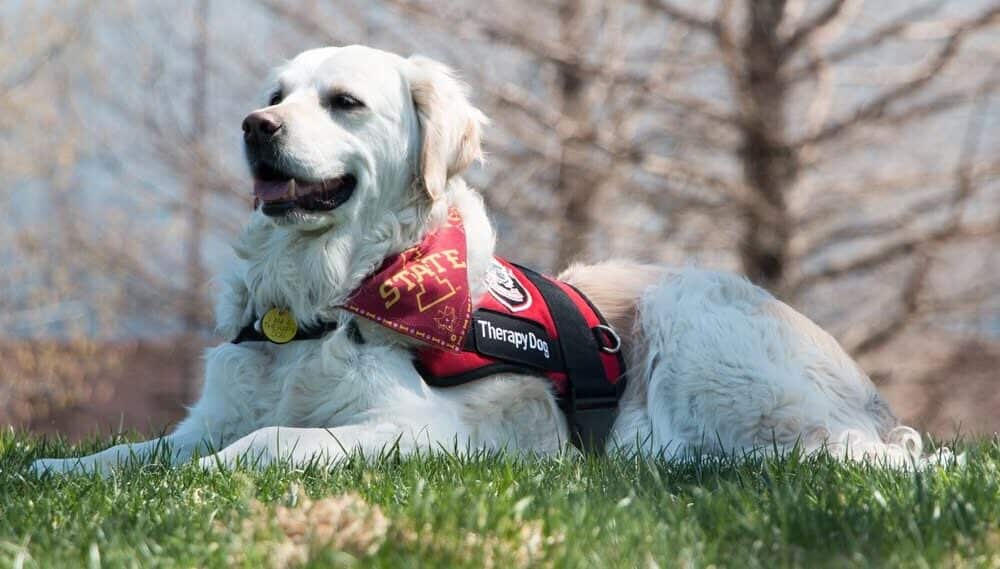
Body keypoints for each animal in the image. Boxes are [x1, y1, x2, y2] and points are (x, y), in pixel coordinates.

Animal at [33, 44, 936, 472]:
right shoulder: (208, 415)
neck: (323, 295)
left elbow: (273, 441)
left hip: (697, 316)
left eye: (344, 102)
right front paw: (58, 468)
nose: (256, 127)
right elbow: (134, 451)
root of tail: (873, 406)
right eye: (276, 94)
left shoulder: (426, 430)